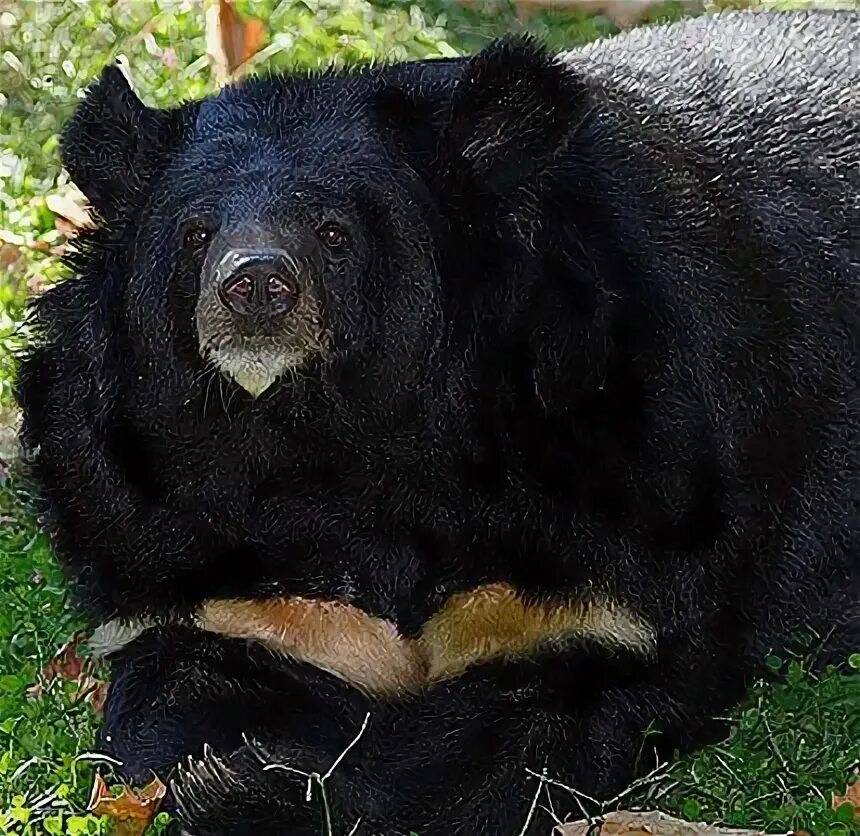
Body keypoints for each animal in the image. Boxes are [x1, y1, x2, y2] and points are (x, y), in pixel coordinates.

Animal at [15, 9, 860, 836]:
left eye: (334, 232)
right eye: (196, 233)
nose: (254, 286)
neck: (329, 439)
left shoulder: (622, 529)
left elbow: (523, 737)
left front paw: (257, 791)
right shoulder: (176, 541)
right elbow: (161, 708)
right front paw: (218, 774)